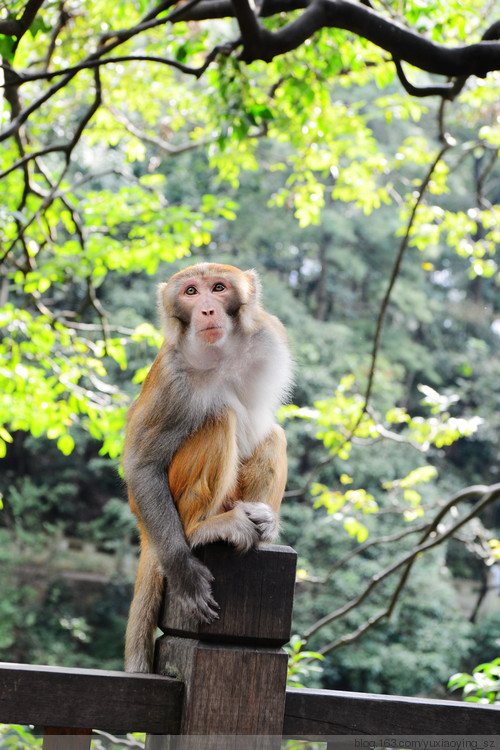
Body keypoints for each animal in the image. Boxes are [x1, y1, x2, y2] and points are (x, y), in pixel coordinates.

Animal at [122, 262, 292, 672]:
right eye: (191, 292)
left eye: (218, 288)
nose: (207, 309)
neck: (219, 356)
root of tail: (145, 530)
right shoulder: (172, 377)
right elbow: (142, 465)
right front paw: (183, 569)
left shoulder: (269, 337)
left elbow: (261, 429)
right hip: (176, 503)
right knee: (220, 417)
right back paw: (202, 529)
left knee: (273, 435)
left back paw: (261, 526)